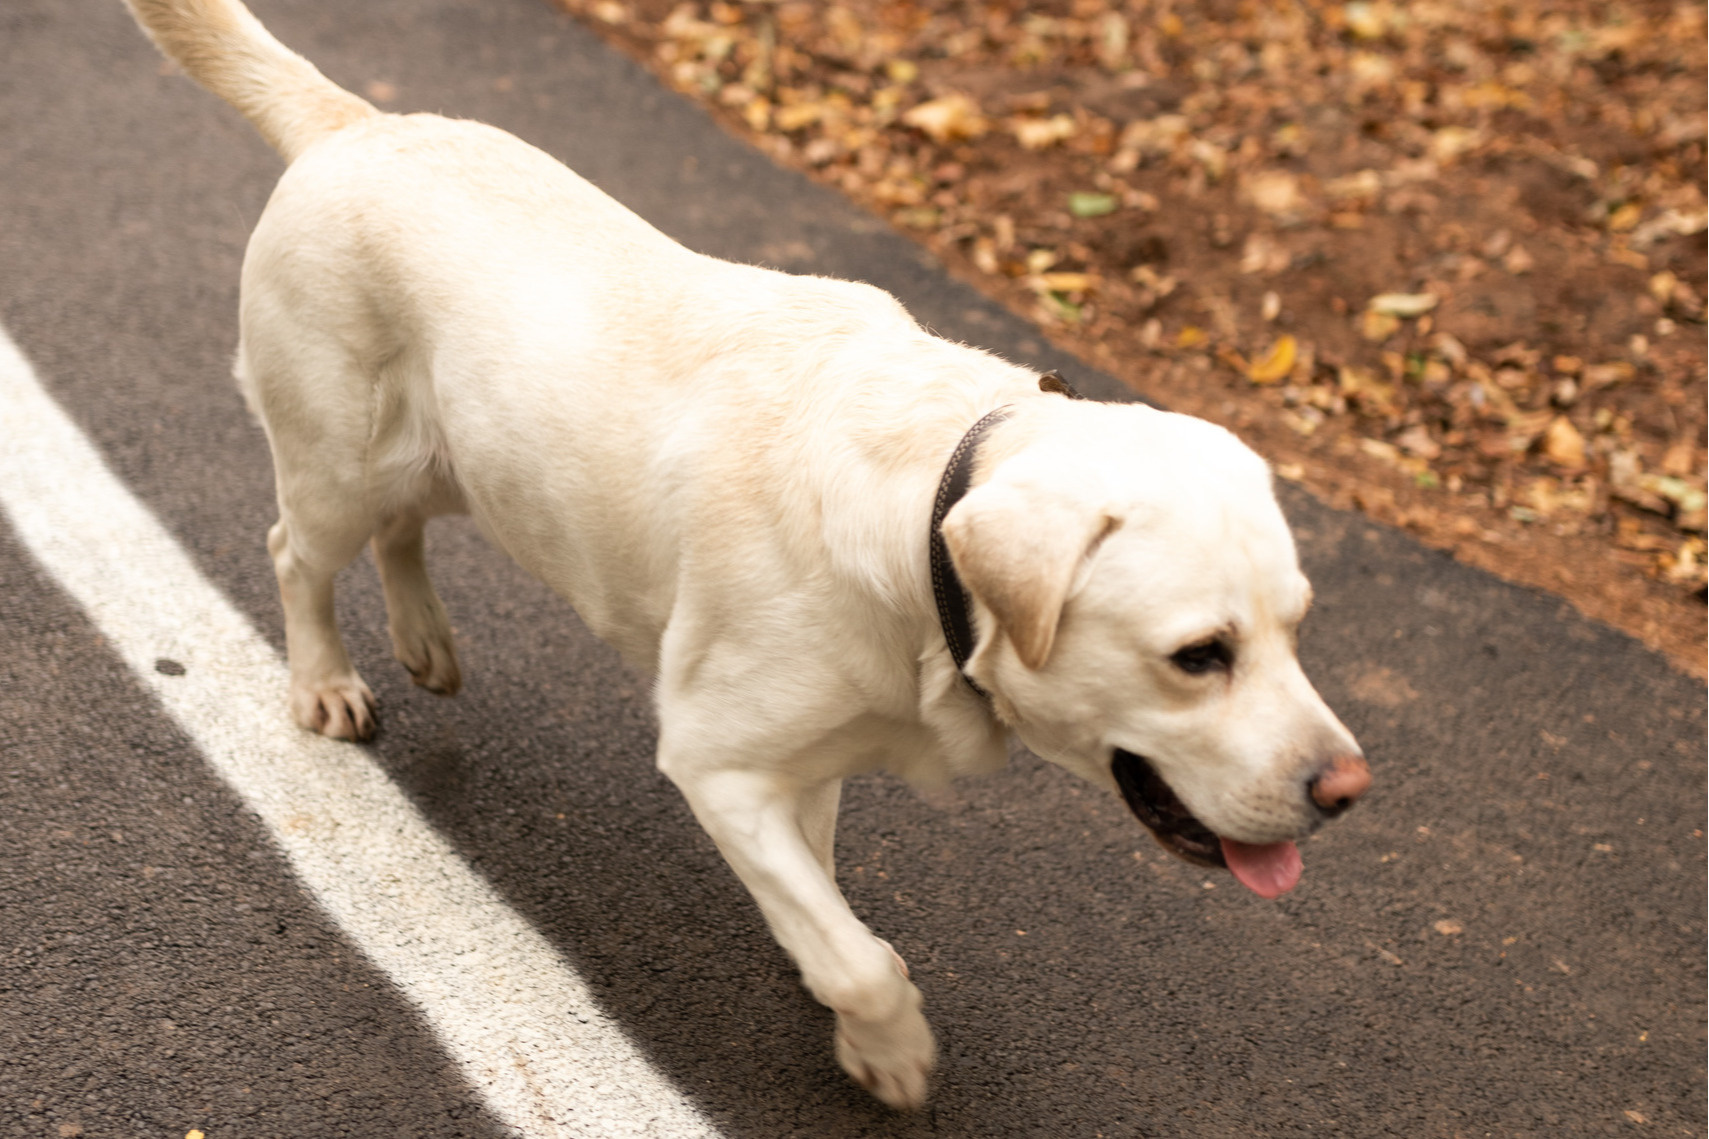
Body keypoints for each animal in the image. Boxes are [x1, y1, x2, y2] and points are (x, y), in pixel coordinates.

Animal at [123, 0, 1374, 1101]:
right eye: (1196, 654)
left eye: (1297, 627)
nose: (1346, 789)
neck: (923, 503)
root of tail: (355, 123)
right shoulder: (716, 757)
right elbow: (856, 954)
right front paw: (887, 1043)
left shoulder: (805, 763)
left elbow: (817, 896)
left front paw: (823, 963)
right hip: (336, 457)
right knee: (296, 551)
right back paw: (325, 681)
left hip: (443, 452)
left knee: (401, 529)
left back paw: (426, 640)